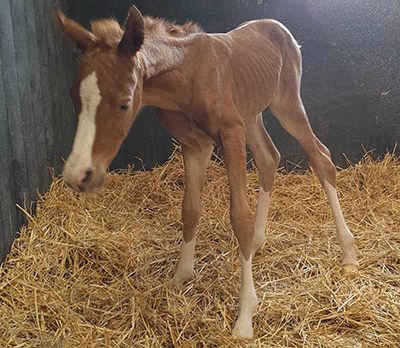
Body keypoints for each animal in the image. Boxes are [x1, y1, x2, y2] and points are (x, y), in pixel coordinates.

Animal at [54, 4, 358, 338]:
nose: (77, 174)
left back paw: (348, 253)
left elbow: (239, 218)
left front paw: (245, 317)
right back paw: (258, 242)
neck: (186, 78)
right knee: (269, 158)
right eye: (72, 97)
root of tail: (278, 26)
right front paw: (180, 276)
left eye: (123, 104)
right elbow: (190, 209)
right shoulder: (194, 145)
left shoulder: (230, 135)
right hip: (250, 114)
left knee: (321, 158)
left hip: (286, 104)